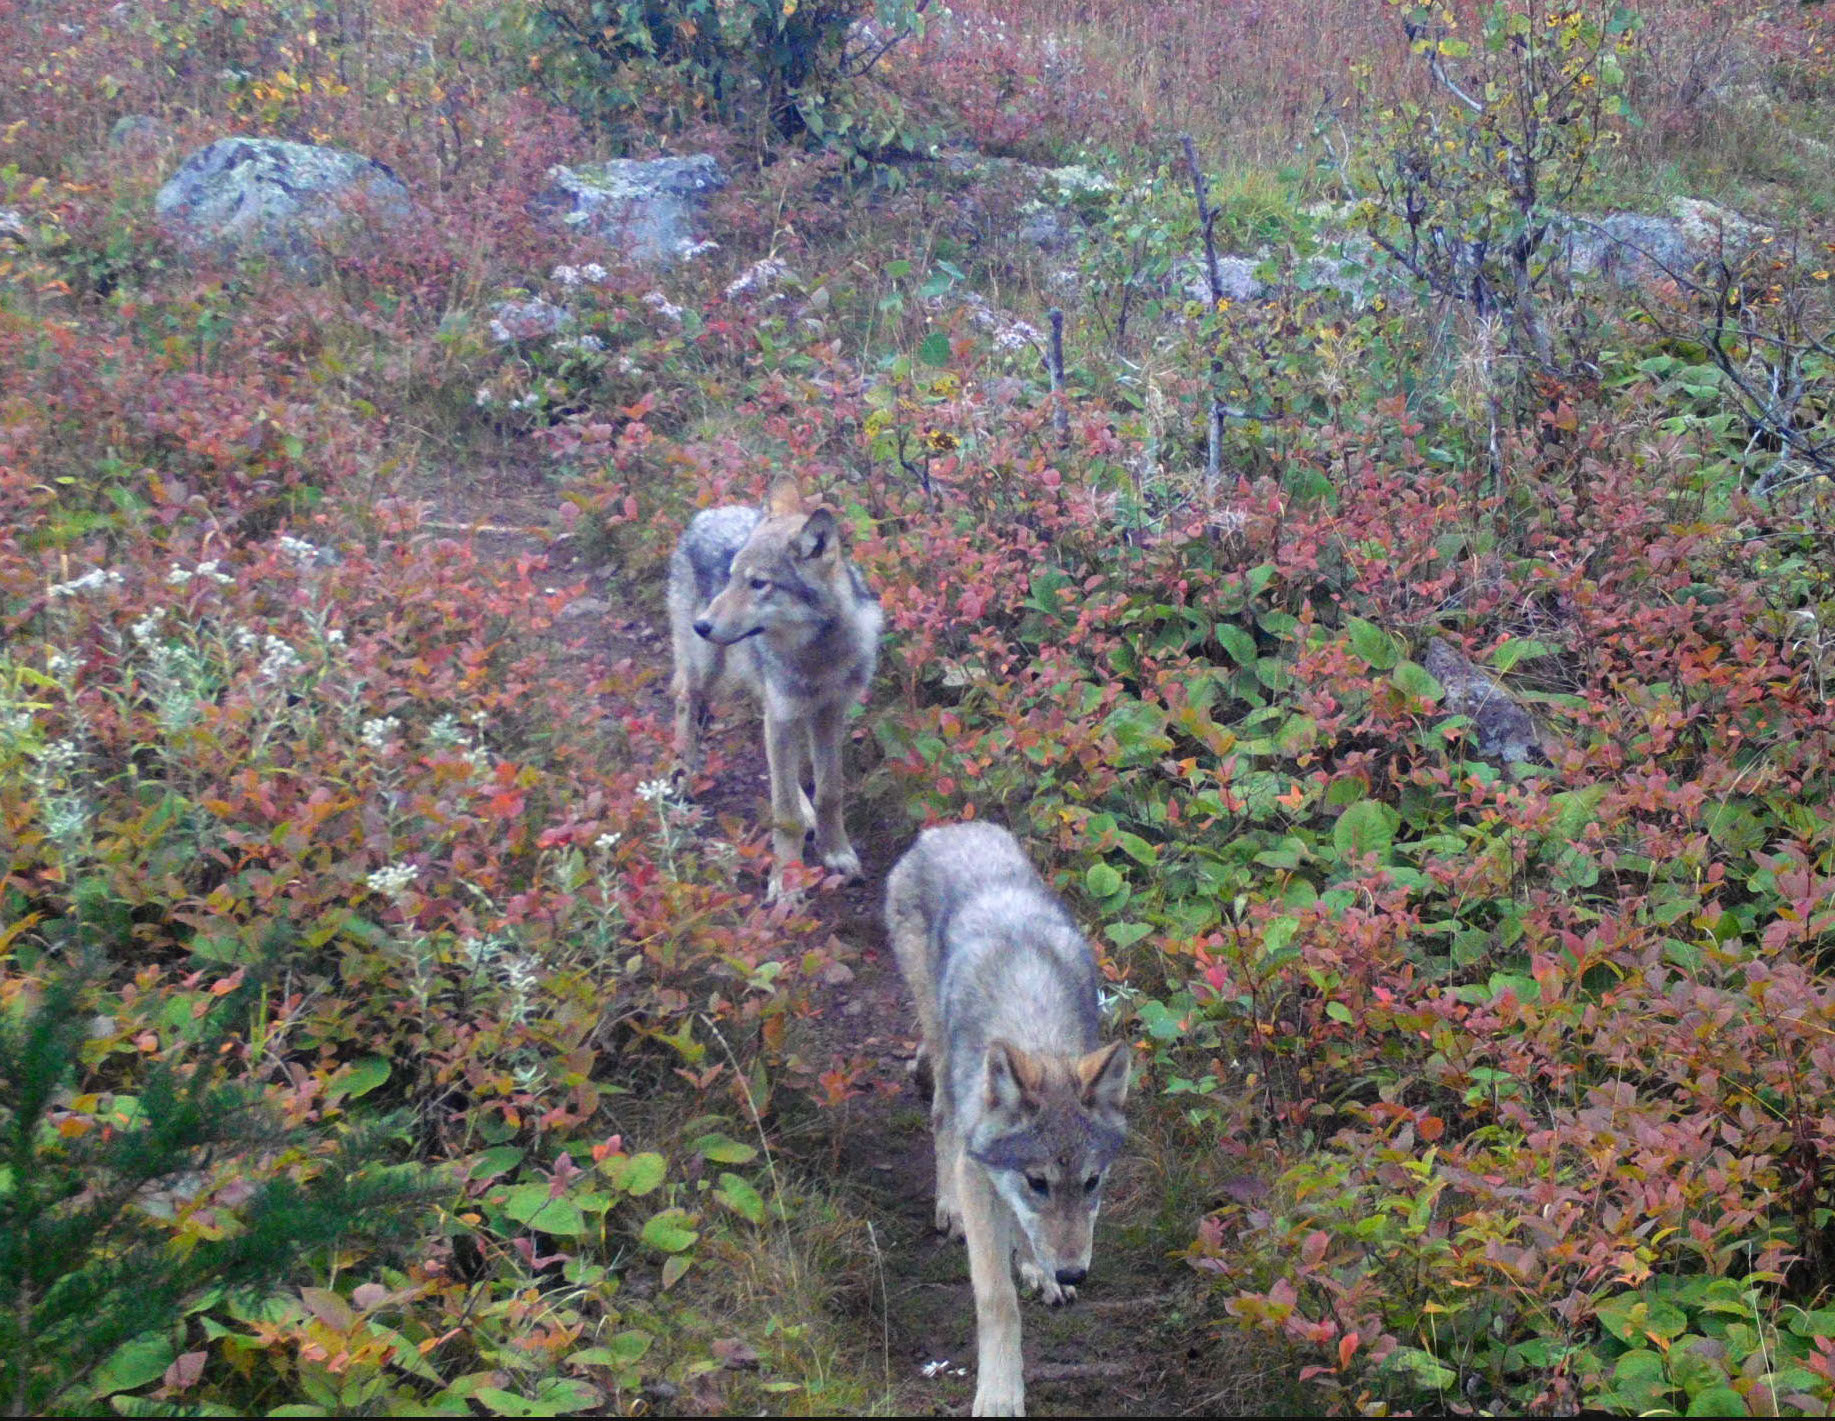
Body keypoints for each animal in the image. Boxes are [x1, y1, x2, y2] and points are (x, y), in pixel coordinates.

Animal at [667, 478, 882, 899]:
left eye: (758, 584)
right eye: (732, 577)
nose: (703, 625)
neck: (818, 656)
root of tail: (710, 512)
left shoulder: (829, 715)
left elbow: (830, 792)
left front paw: (836, 851)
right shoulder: (784, 714)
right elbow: (784, 813)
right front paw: (786, 881)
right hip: (707, 670)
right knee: (685, 698)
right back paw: (685, 772)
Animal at [884, 821, 1131, 1417]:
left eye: (1093, 1182)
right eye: (1037, 1180)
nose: (1074, 1272)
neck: (1032, 1019)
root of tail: (947, 829)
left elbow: (1027, 1229)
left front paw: (1041, 1271)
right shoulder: (982, 1172)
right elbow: (997, 1300)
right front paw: (998, 1394)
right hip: (940, 1041)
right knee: (942, 1117)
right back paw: (947, 1207)